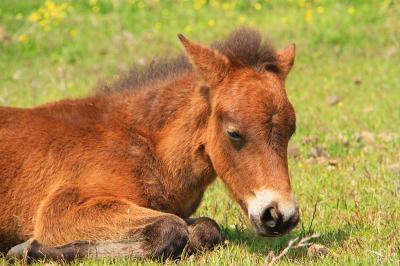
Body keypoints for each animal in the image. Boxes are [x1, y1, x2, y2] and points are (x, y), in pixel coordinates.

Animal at [1, 28, 298, 260]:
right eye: (234, 133)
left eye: (291, 131)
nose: (280, 216)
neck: (147, 147)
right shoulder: (60, 209)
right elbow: (171, 229)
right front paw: (25, 249)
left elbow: (206, 228)